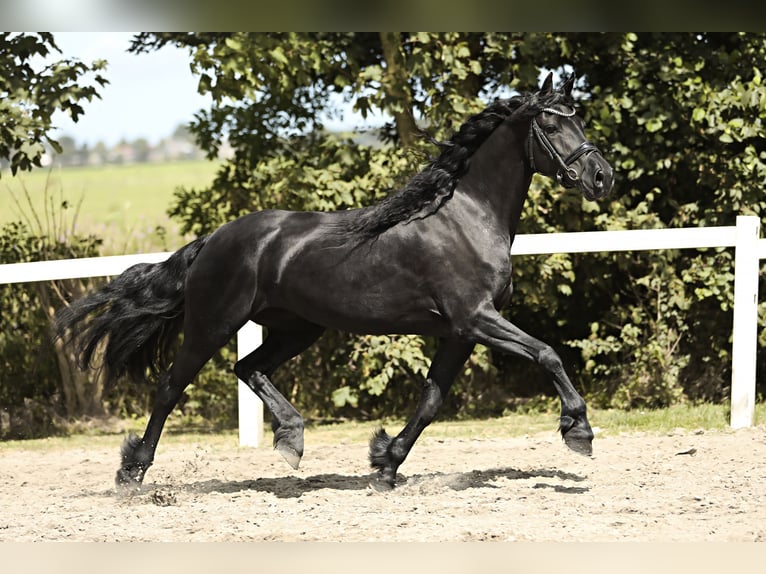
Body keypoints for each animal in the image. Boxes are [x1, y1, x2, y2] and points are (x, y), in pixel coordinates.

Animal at [55, 73, 616, 490]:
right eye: (550, 122)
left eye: (580, 118)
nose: (602, 177)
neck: (468, 219)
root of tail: (214, 239)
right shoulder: (477, 319)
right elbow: (547, 353)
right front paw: (579, 431)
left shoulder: (460, 332)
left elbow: (431, 401)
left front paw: (385, 463)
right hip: (212, 324)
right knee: (172, 386)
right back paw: (133, 472)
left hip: (298, 327)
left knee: (247, 367)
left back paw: (291, 440)